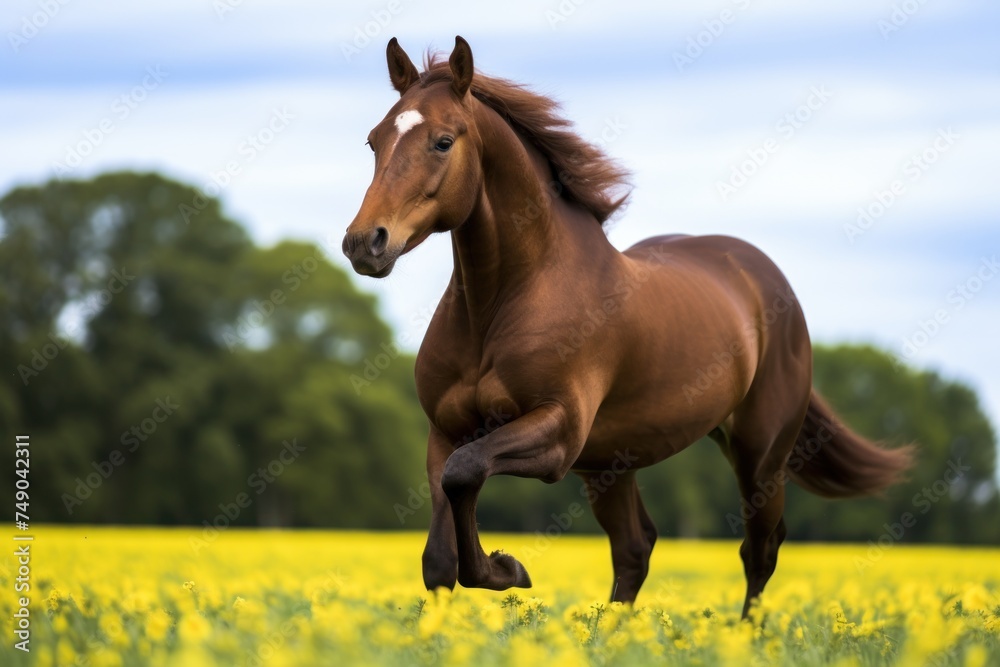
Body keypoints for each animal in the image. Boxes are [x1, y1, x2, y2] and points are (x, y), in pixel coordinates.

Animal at [342, 36, 913, 618]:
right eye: (373, 141)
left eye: (442, 141)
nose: (365, 242)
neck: (500, 305)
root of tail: (768, 281)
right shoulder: (445, 431)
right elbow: (441, 554)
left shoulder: (558, 435)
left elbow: (466, 474)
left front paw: (508, 569)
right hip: (612, 466)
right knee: (636, 549)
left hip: (760, 453)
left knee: (759, 550)